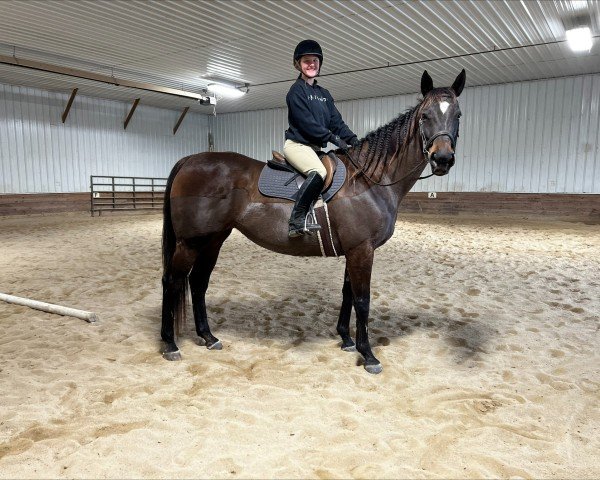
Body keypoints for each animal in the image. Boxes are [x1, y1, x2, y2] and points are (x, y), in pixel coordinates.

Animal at [159, 69, 464, 374]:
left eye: (458, 114)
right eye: (425, 116)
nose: (442, 158)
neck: (369, 180)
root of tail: (190, 160)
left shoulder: (354, 250)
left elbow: (348, 293)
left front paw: (346, 340)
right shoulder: (362, 250)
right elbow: (362, 300)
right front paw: (368, 355)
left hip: (213, 240)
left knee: (198, 282)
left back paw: (208, 337)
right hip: (189, 243)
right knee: (172, 281)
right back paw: (170, 344)